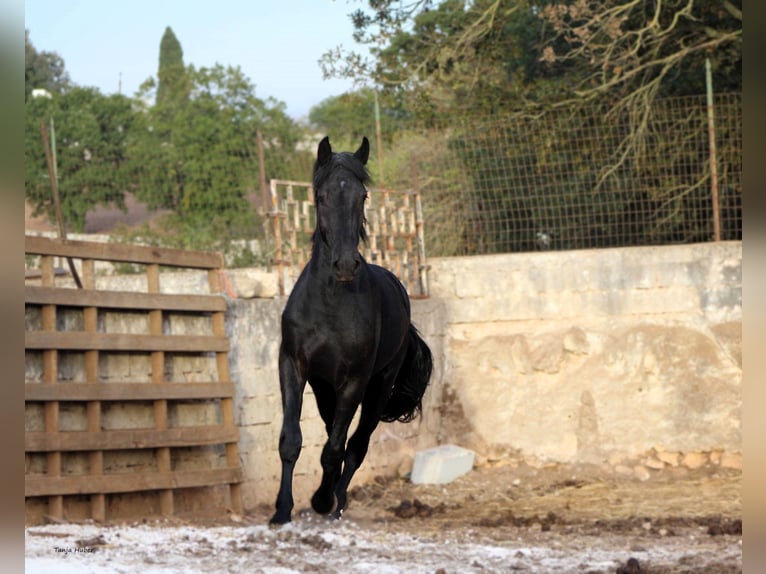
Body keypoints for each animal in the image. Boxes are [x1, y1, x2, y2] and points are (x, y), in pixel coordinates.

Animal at [270, 136, 432, 528]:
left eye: (362, 196)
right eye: (322, 196)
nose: (345, 264)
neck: (329, 303)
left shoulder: (354, 381)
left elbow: (336, 449)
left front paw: (321, 500)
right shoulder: (293, 366)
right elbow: (291, 440)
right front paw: (281, 511)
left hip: (377, 387)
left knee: (356, 445)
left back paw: (336, 502)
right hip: (324, 389)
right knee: (337, 435)